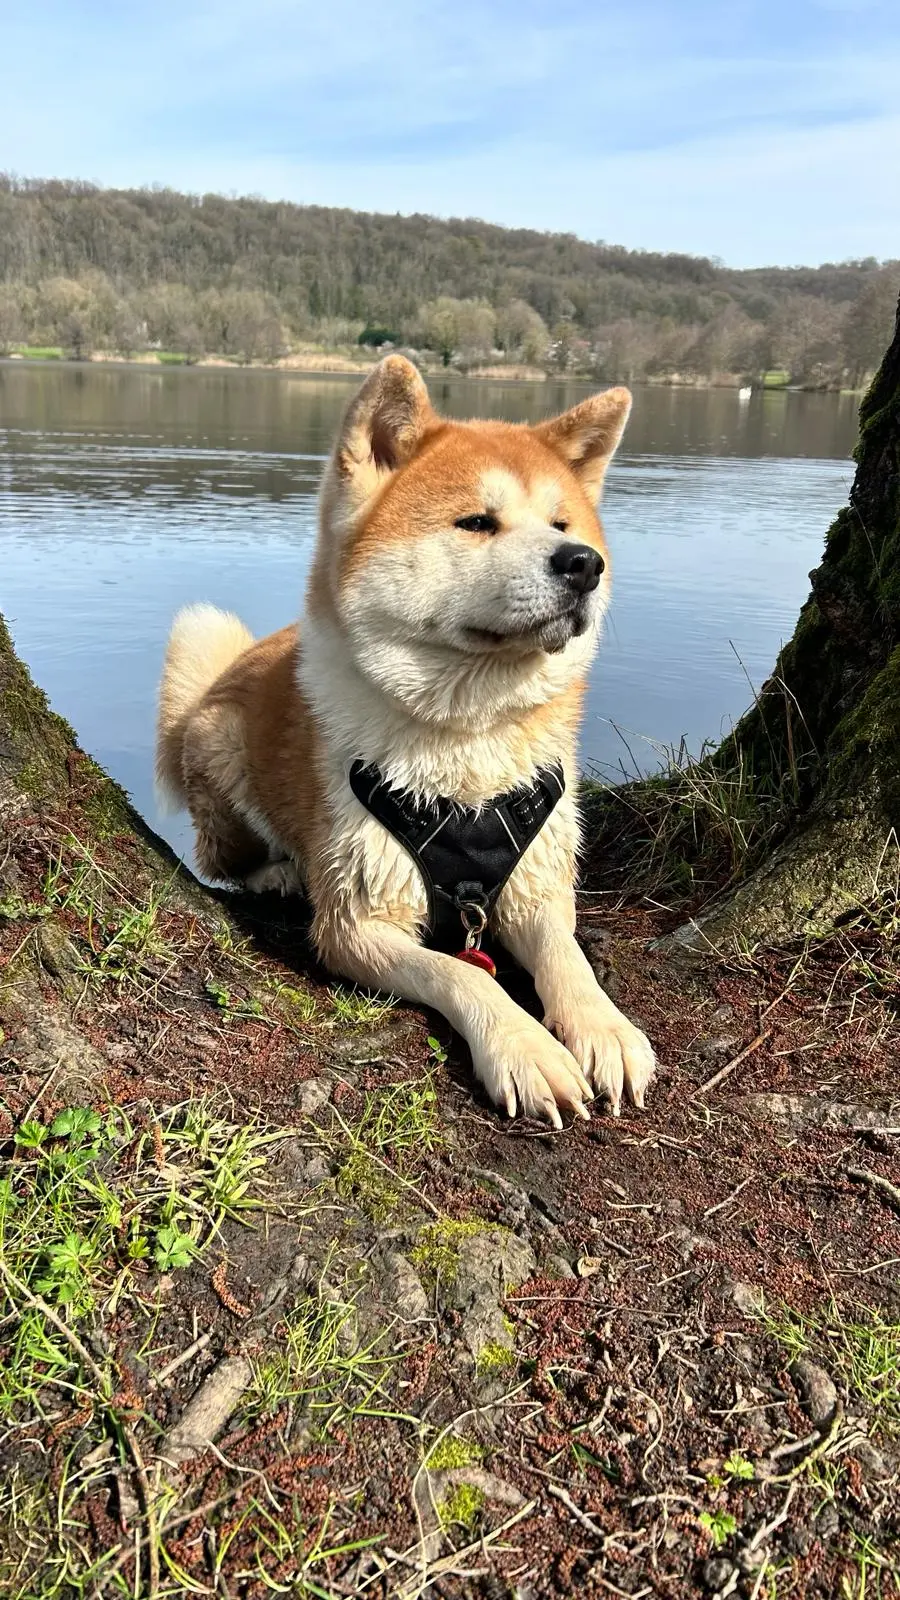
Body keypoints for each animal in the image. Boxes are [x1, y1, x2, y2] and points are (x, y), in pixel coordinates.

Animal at [156, 356, 655, 1127]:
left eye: (562, 523)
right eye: (477, 522)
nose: (582, 563)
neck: (468, 742)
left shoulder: (537, 883)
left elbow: (567, 957)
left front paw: (604, 1027)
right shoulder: (356, 923)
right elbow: (464, 974)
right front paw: (526, 1046)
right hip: (217, 732)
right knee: (221, 855)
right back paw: (275, 872)